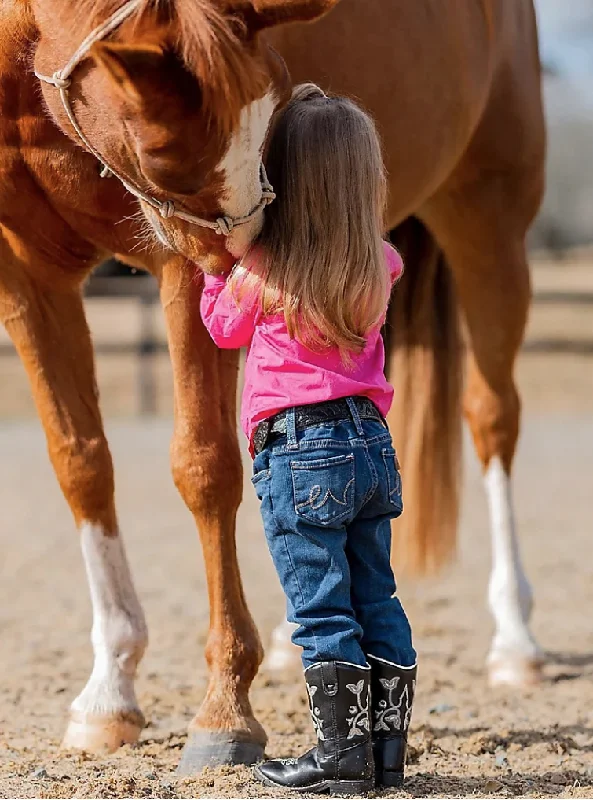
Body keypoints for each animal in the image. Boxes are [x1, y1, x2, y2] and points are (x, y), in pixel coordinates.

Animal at [1, 0, 544, 776]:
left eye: (274, 99)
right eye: (163, 149)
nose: (255, 259)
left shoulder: (181, 270)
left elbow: (204, 468)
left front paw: (224, 711)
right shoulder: (28, 273)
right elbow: (81, 463)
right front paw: (109, 693)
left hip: (488, 223)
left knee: (492, 418)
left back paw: (515, 642)